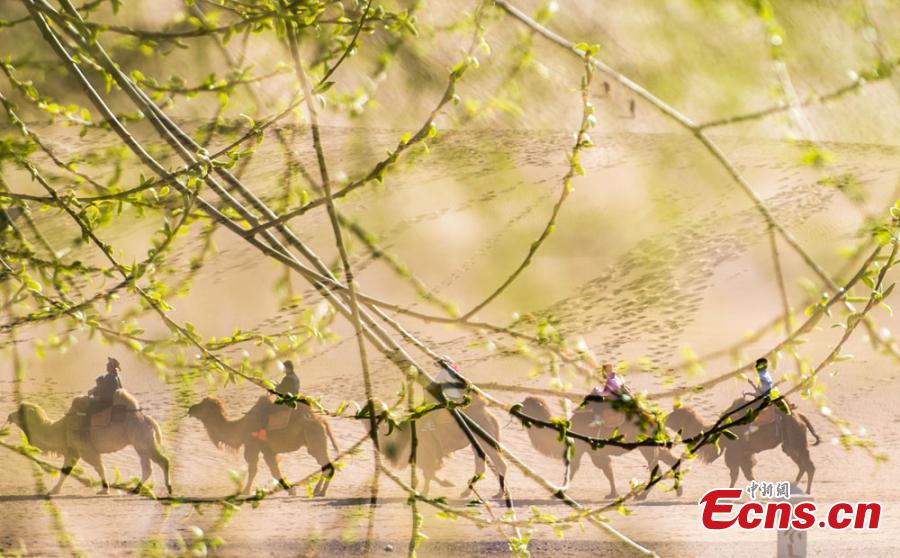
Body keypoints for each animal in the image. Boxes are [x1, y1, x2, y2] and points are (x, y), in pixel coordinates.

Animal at [5, 392, 171, 496]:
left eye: (20, 411)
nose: (9, 415)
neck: (61, 429)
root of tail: (148, 419)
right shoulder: (73, 450)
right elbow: (65, 471)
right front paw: (54, 490)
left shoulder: (86, 450)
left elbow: (99, 467)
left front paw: (104, 490)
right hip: (142, 443)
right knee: (148, 467)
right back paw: (136, 490)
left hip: (141, 440)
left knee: (162, 461)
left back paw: (169, 489)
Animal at [188, 398, 340, 498]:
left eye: (202, 405)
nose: (190, 408)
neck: (241, 427)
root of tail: (323, 421)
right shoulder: (267, 449)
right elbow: (274, 470)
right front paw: (289, 489)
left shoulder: (252, 445)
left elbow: (254, 469)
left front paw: (245, 492)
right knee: (325, 465)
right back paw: (318, 491)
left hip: (314, 438)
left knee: (327, 465)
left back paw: (321, 492)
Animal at [376, 400, 510, 500]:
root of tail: (489, 415)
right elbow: (429, 472)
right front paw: (444, 484)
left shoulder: (428, 452)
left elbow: (428, 473)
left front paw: (425, 493)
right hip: (476, 443)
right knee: (481, 466)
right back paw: (467, 492)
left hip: (486, 441)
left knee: (500, 464)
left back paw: (498, 494)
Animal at [516, 396, 680, 500]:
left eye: (528, 404)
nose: (516, 406)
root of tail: (655, 419)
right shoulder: (589, 450)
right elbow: (605, 470)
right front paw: (613, 494)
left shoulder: (585, 449)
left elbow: (576, 470)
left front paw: (559, 493)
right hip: (652, 444)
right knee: (671, 459)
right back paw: (678, 492)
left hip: (646, 445)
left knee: (656, 469)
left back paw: (642, 496)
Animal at [668, 398, 824, 494]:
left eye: (677, 414)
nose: (665, 419)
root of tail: (801, 416)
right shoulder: (742, 454)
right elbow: (746, 475)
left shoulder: (736, 452)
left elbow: (738, 474)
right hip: (789, 446)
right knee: (802, 465)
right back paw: (795, 487)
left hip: (798, 442)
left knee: (809, 466)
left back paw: (807, 491)